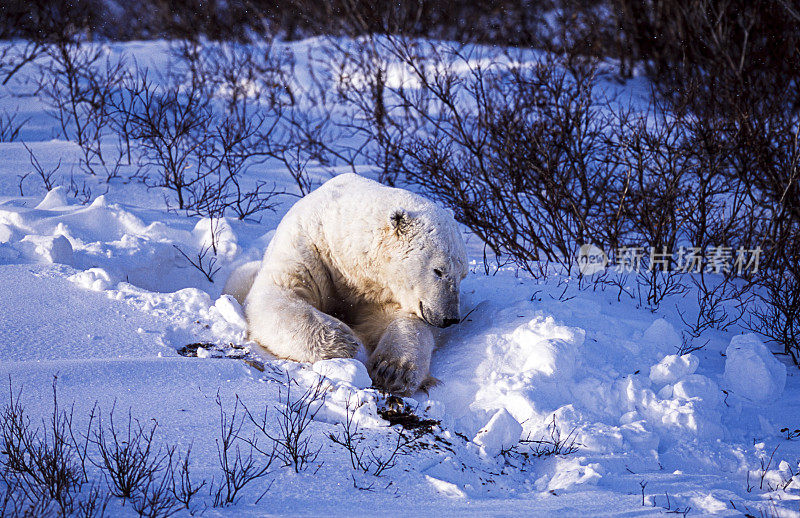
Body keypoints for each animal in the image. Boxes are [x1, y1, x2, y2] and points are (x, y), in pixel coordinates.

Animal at [223, 174, 468, 394]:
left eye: (462, 275)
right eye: (438, 271)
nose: (450, 318)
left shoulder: (379, 290)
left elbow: (396, 320)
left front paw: (393, 370)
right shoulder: (311, 250)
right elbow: (280, 293)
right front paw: (345, 341)